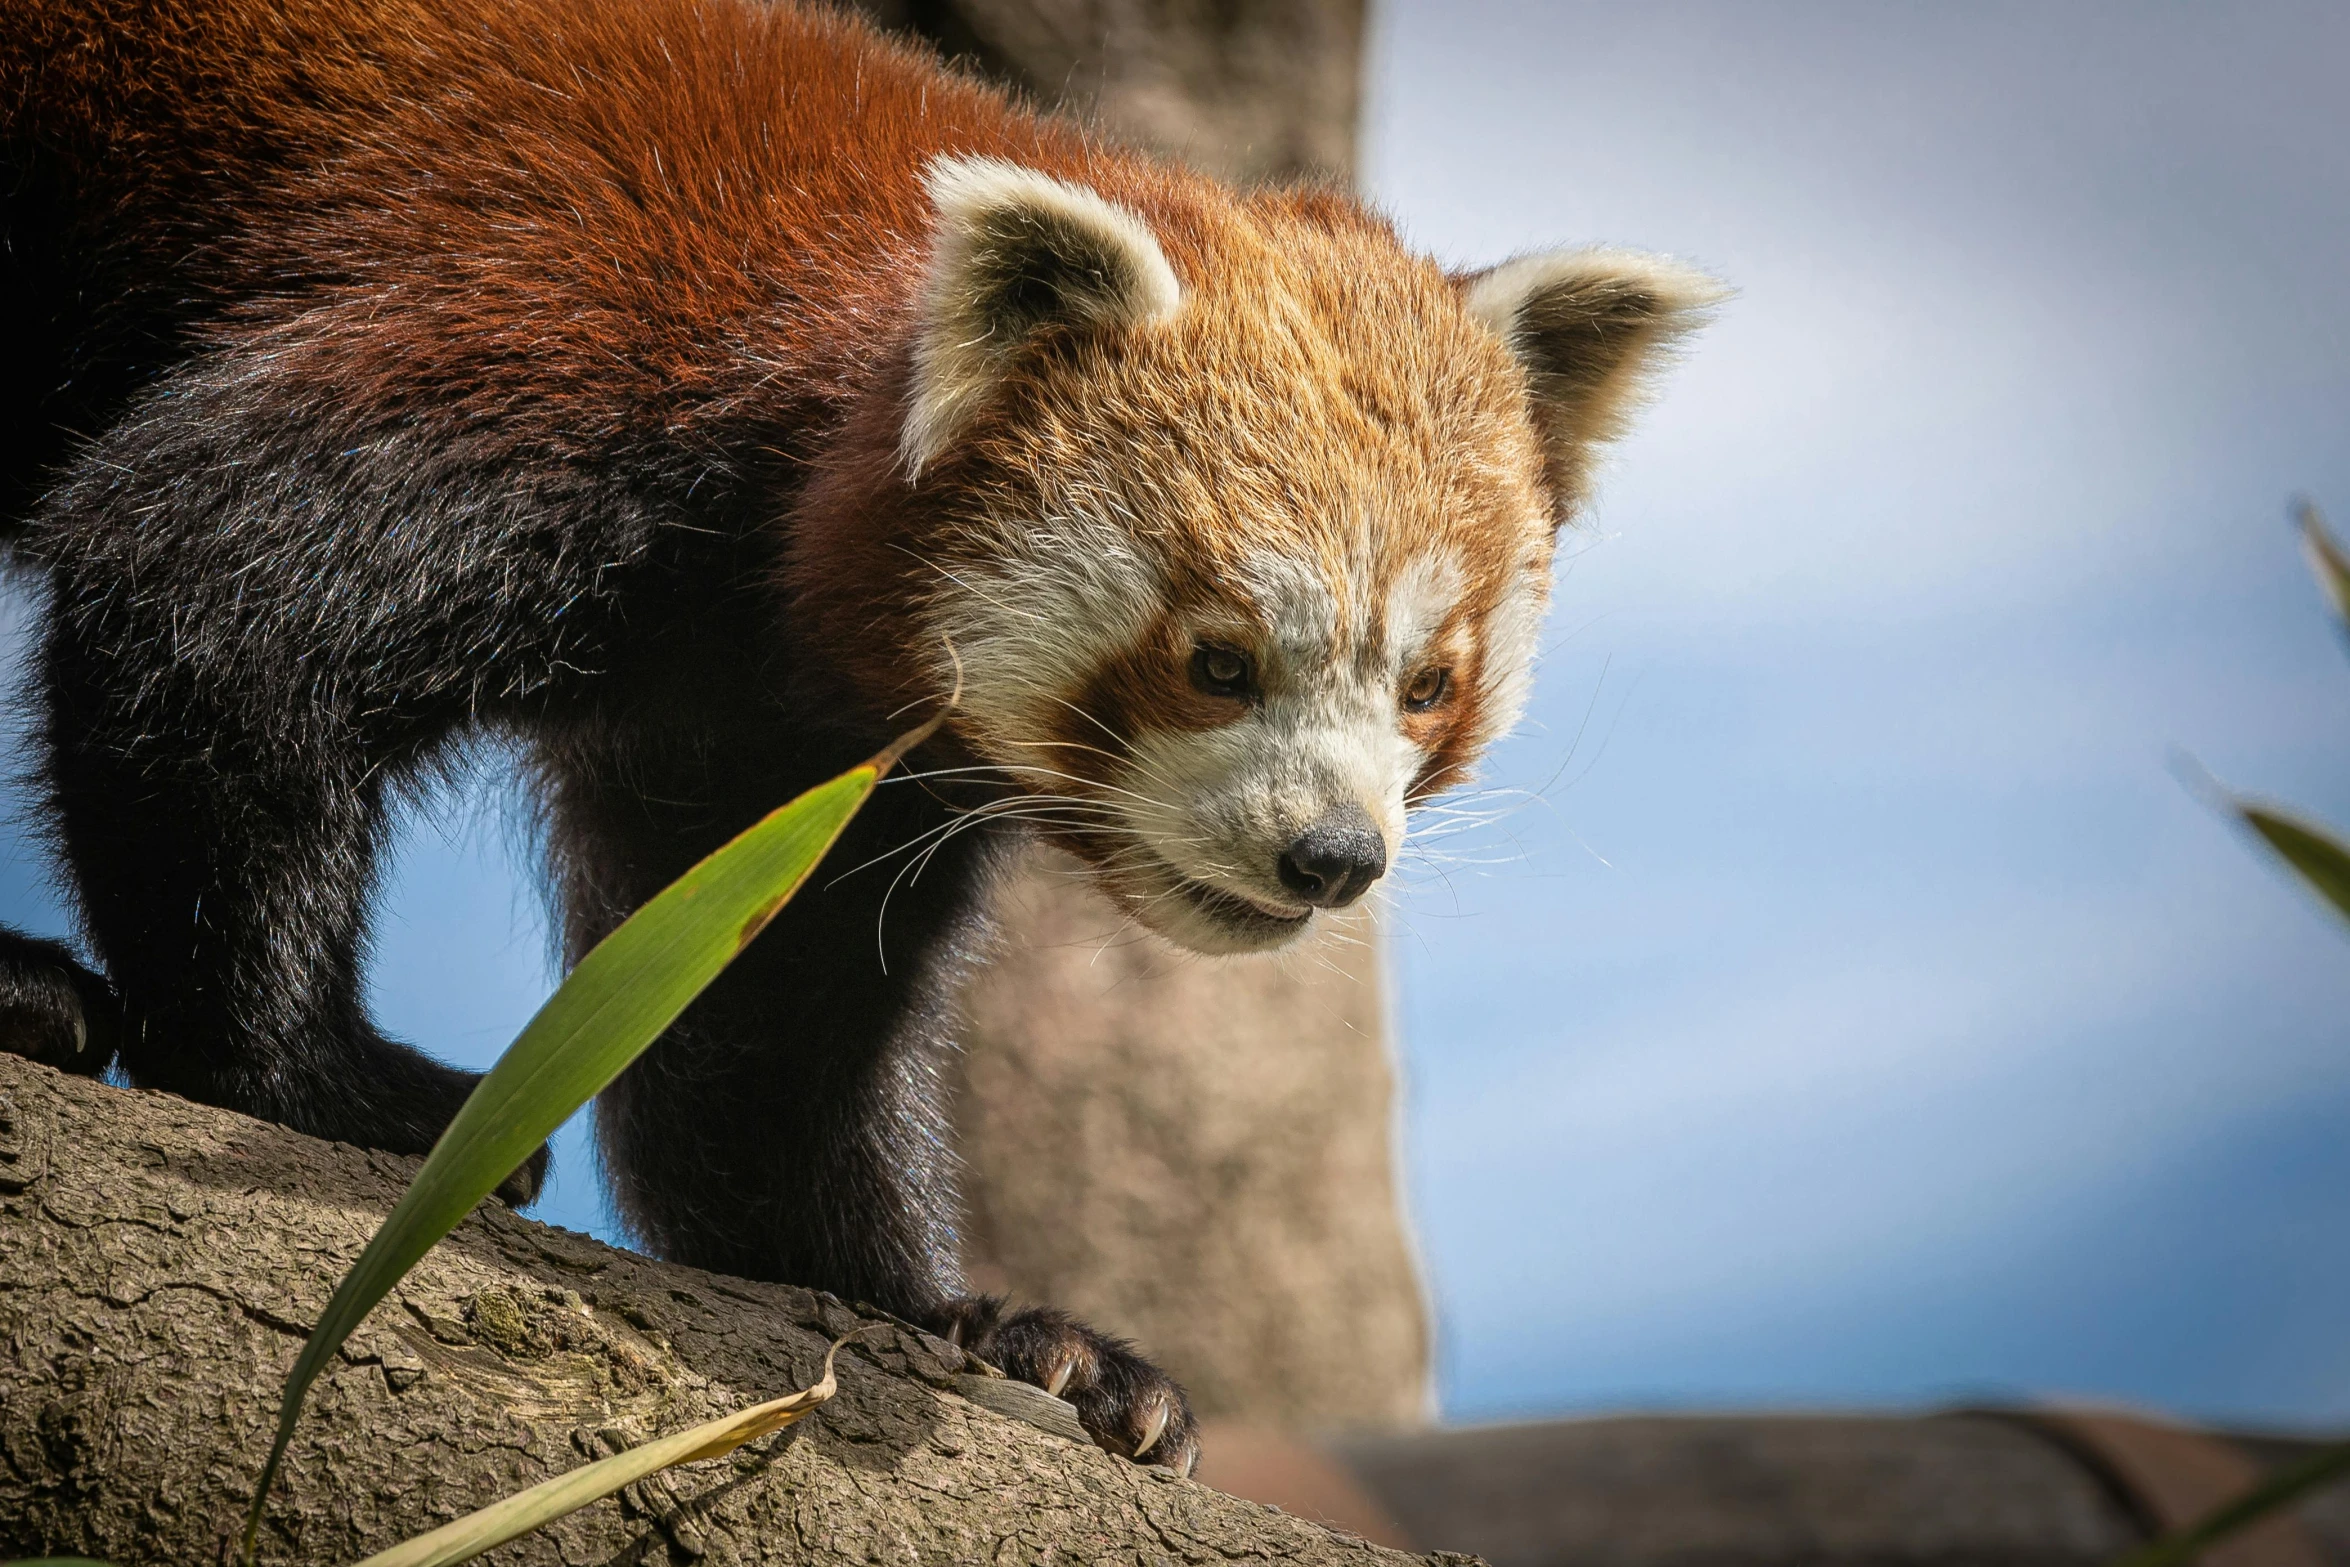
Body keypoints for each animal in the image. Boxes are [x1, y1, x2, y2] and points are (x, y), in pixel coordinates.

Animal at [4, 0, 1729, 1475]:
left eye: (1427, 683)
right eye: (1216, 659)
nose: (1331, 854)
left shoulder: (781, 734)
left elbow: (764, 1012)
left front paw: (985, 1326)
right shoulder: (530, 350)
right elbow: (202, 605)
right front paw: (319, 1081)